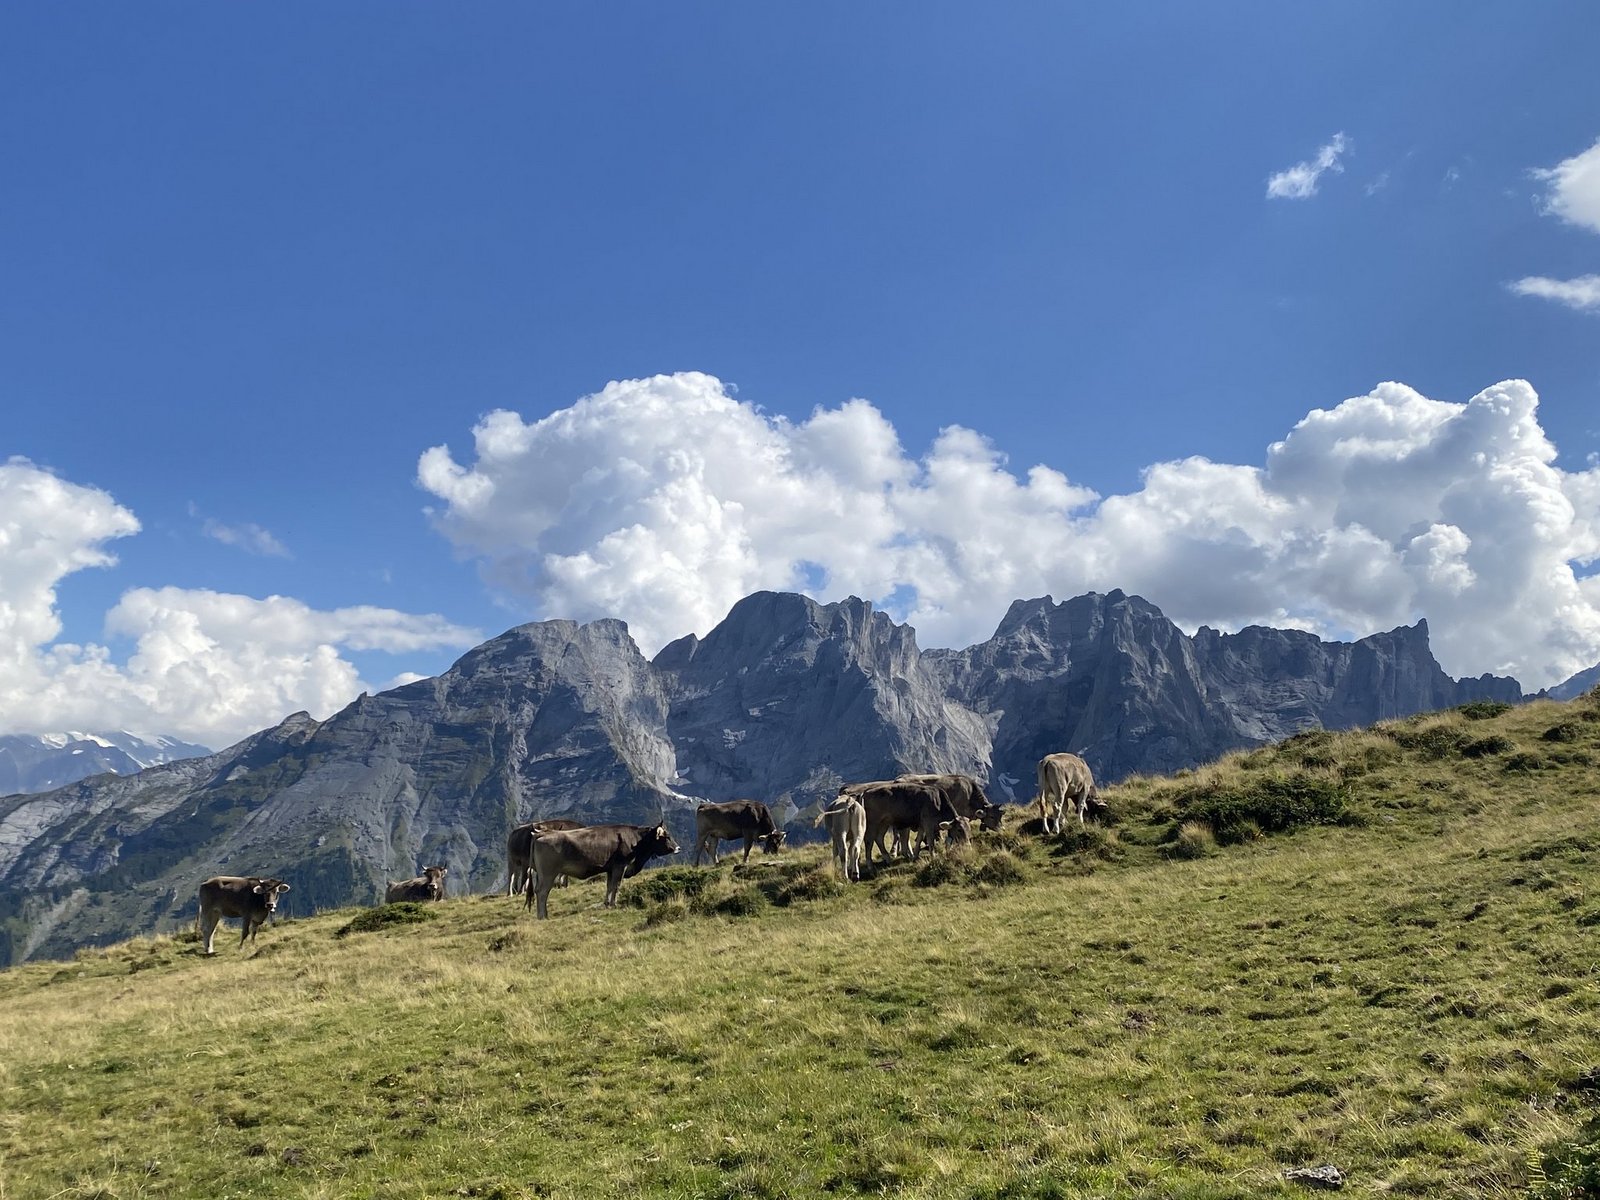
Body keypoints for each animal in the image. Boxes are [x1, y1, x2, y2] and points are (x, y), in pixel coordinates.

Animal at [526, 823, 681, 919]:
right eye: (667, 836)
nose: (678, 848)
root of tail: (542, 834)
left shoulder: (610, 869)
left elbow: (609, 886)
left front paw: (607, 904)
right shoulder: (620, 866)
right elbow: (616, 886)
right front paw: (614, 904)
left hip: (542, 874)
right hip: (548, 873)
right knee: (542, 892)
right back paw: (542, 916)